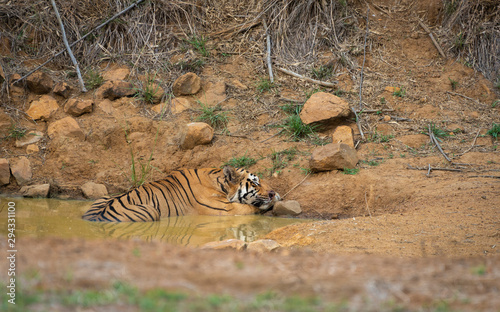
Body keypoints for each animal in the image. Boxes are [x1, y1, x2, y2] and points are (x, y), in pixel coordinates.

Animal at [80, 166, 280, 222]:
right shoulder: (225, 210)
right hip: (151, 210)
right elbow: (250, 209)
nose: (273, 193)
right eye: (255, 182)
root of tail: (93, 218)